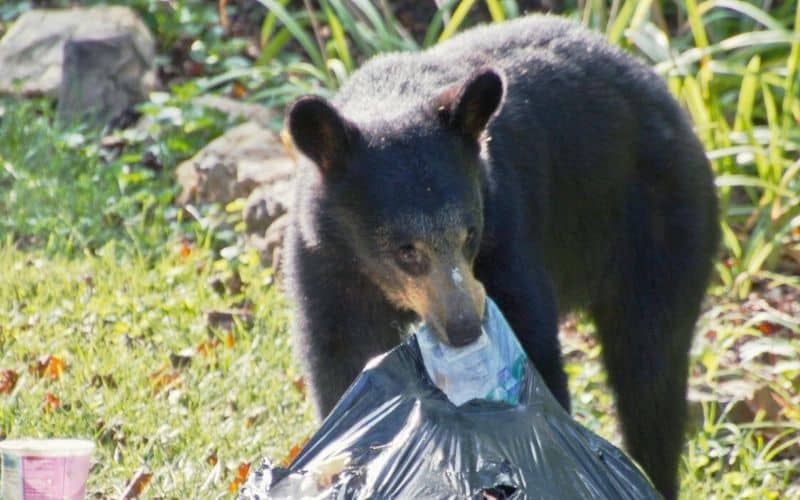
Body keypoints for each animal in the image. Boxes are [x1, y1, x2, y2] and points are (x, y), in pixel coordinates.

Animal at [282, 13, 720, 498]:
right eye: (405, 251)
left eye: (469, 234)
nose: (464, 329)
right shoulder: (325, 262)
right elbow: (339, 359)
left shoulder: (507, 233)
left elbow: (536, 350)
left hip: (659, 229)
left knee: (650, 370)